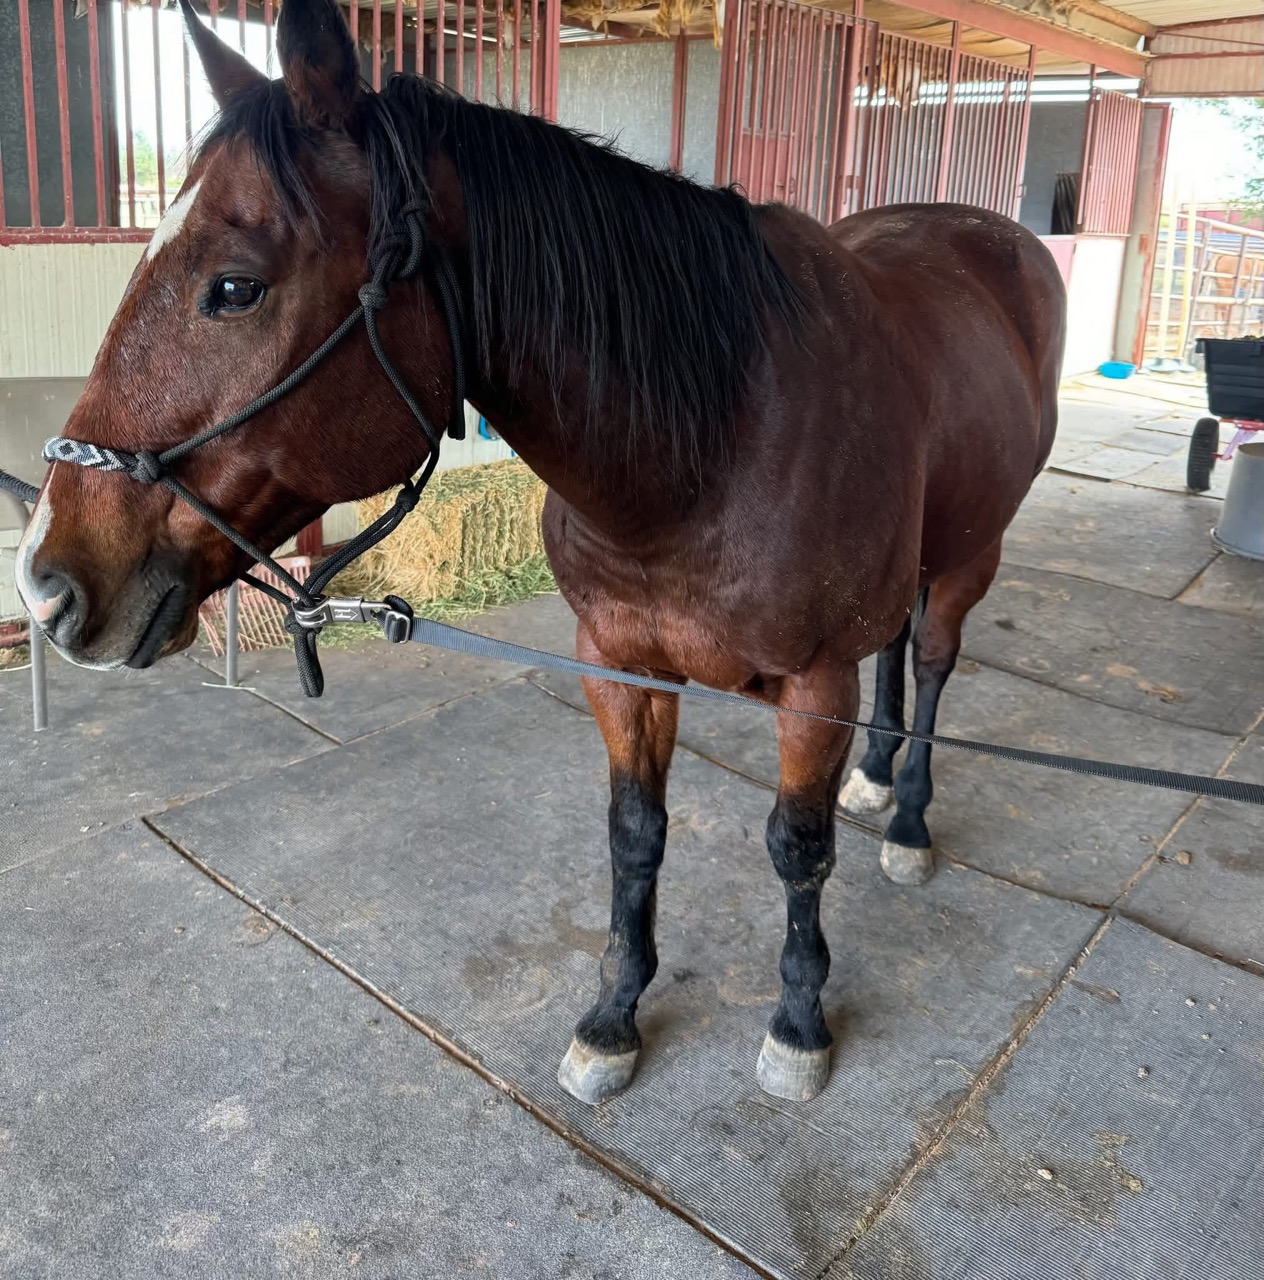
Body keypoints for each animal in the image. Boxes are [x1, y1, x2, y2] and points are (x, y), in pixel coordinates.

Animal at [16, 0, 1065, 1105]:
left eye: (232, 287)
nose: (45, 581)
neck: (716, 445)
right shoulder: (617, 664)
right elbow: (634, 834)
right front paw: (613, 1017)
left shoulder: (815, 682)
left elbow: (797, 848)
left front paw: (797, 1020)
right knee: (900, 649)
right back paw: (875, 773)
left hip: (971, 556)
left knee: (934, 659)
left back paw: (906, 820)